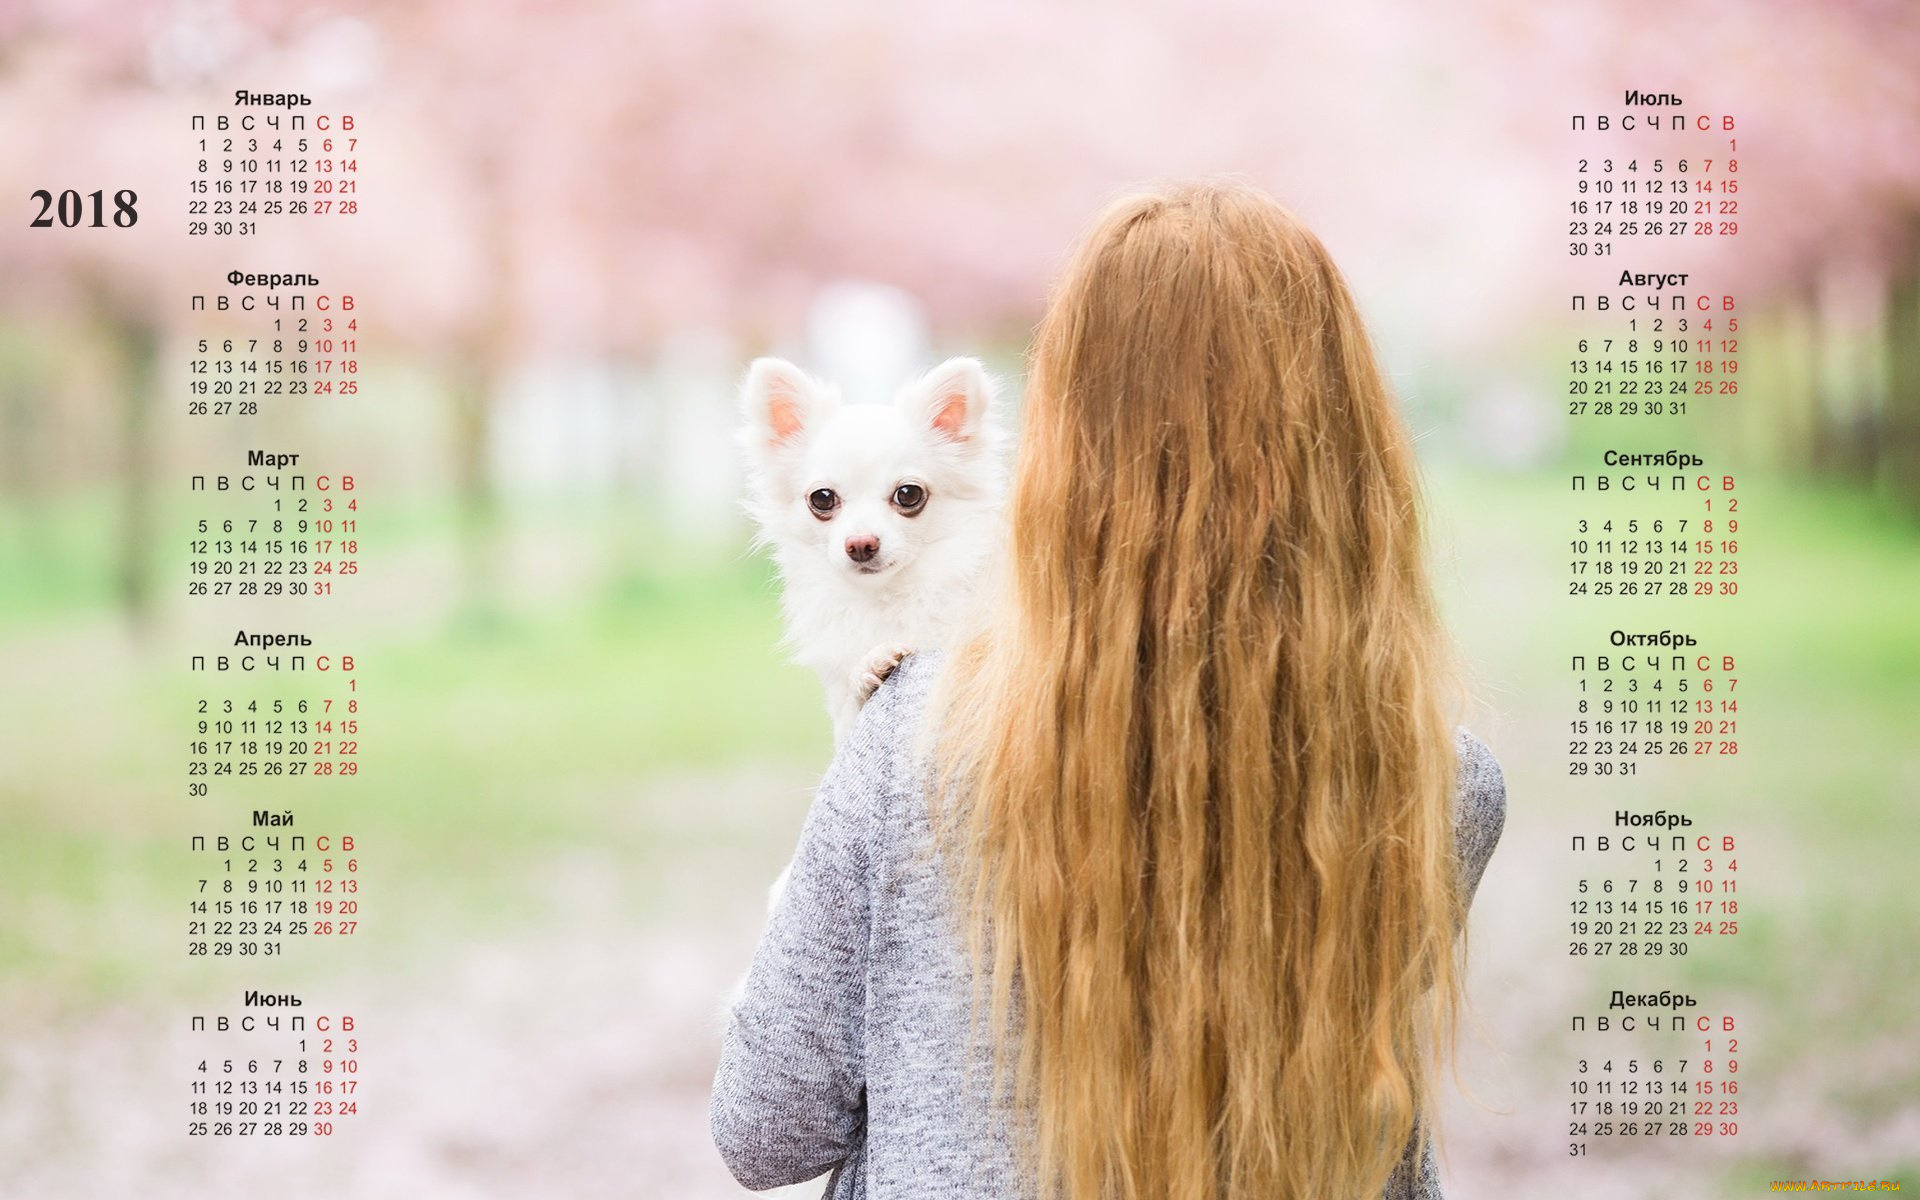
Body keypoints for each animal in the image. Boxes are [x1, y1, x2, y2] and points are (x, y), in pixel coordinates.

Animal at [733, 351, 1006, 741]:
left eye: (908, 494)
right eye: (822, 498)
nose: (861, 544)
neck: (888, 599)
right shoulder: (842, 720)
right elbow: (849, 705)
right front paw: (868, 671)